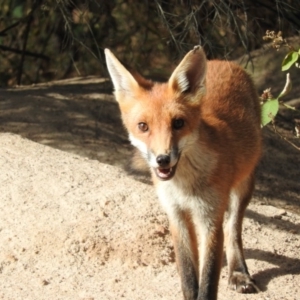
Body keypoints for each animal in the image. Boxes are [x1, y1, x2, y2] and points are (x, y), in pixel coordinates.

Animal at [104, 45, 262, 300]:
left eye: (178, 123)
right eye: (143, 126)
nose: (162, 159)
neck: (184, 186)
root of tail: (223, 61)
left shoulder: (210, 218)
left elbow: (208, 281)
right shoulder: (175, 215)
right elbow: (188, 276)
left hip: (244, 185)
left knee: (233, 229)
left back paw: (238, 271)